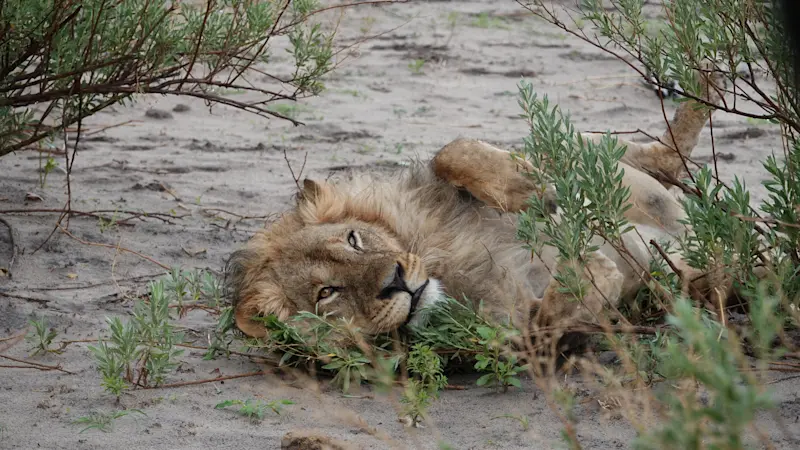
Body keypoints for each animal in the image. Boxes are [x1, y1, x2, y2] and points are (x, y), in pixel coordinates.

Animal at [225, 65, 727, 349]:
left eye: (354, 239)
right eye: (326, 294)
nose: (396, 281)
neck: (441, 261)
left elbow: (453, 152)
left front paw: (533, 193)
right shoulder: (513, 325)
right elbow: (546, 320)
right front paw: (585, 278)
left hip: (587, 152)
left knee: (662, 155)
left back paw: (705, 80)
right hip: (692, 272)